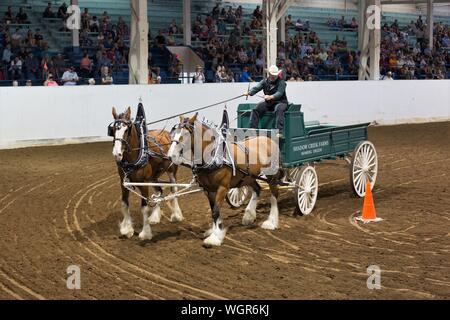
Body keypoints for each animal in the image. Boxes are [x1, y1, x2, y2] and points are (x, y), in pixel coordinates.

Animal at [109, 105, 183, 240]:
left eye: (126, 130)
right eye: (113, 130)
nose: (117, 154)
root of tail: (167, 133)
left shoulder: (143, 184)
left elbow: (144, 207)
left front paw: (145, 233)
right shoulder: (123, 182)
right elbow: (124, 204)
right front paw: (127, 229)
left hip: (171, 171)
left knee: (174, 189)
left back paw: (176, 215)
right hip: (153, 177)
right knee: (159, 191)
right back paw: (154, 217)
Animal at [167, 113, 284, 248]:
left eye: (185, 134)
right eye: (173, 133)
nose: (171, 156)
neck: (214, 157)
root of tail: (269, 140)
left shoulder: (222, 188)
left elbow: (216, 211)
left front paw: (214, 238)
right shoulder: (208, 190)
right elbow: (213, 210)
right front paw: (214, 230)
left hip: (272, 176)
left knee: (274, 194)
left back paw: (271, 222)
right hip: (249, 177)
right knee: (257, 189)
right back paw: (248, 216)